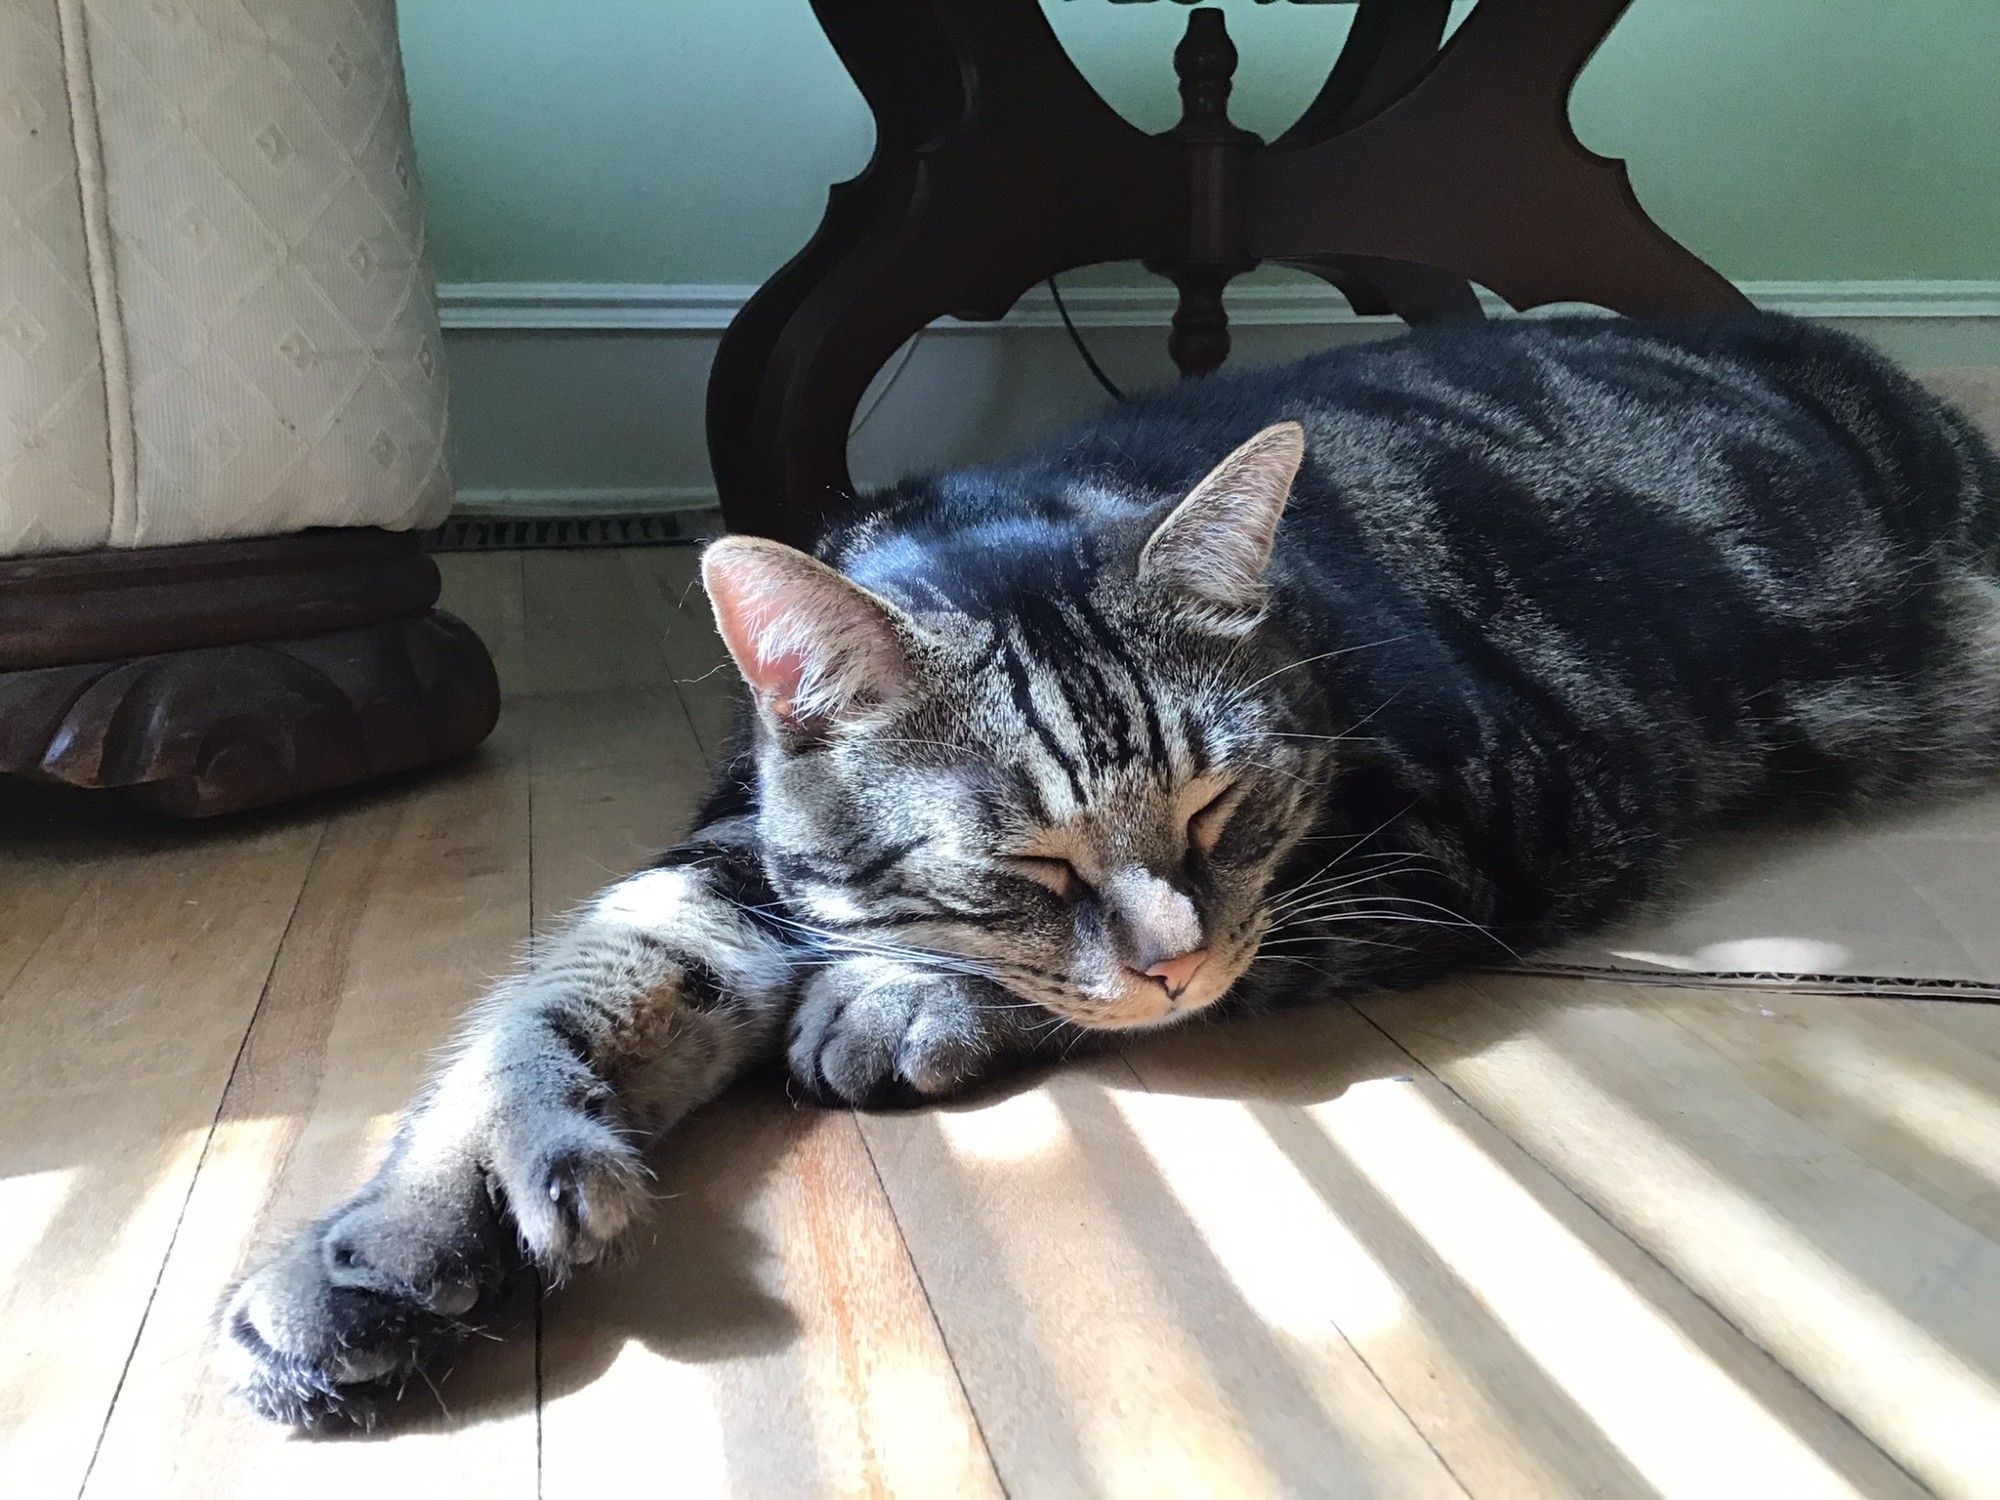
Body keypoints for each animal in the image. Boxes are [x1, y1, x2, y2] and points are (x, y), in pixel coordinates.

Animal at [219, 312, 2000, 1424]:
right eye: (1019, 860)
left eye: (1220, 811)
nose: (1168, 948)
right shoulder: (736, 846)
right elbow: (575, 983)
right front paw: (387, 1240)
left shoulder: (1483, 817)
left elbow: (1188, 960)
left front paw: (893, 1003)